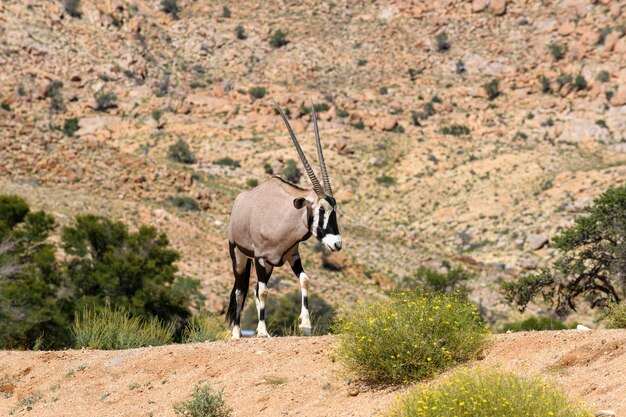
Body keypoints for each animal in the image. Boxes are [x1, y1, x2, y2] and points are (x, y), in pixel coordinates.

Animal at [224, 104, 342, 338]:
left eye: (335, 210)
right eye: (320, 209)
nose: (337, 243)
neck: (282, 217)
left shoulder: (291, 255)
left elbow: (304, 280)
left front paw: (305, 325)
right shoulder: (261, 258)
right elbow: (263, 291)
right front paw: (262, 331)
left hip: (268, 265)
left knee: (252, 289)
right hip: (239, 256)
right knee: (241, 289)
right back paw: (237, 333)